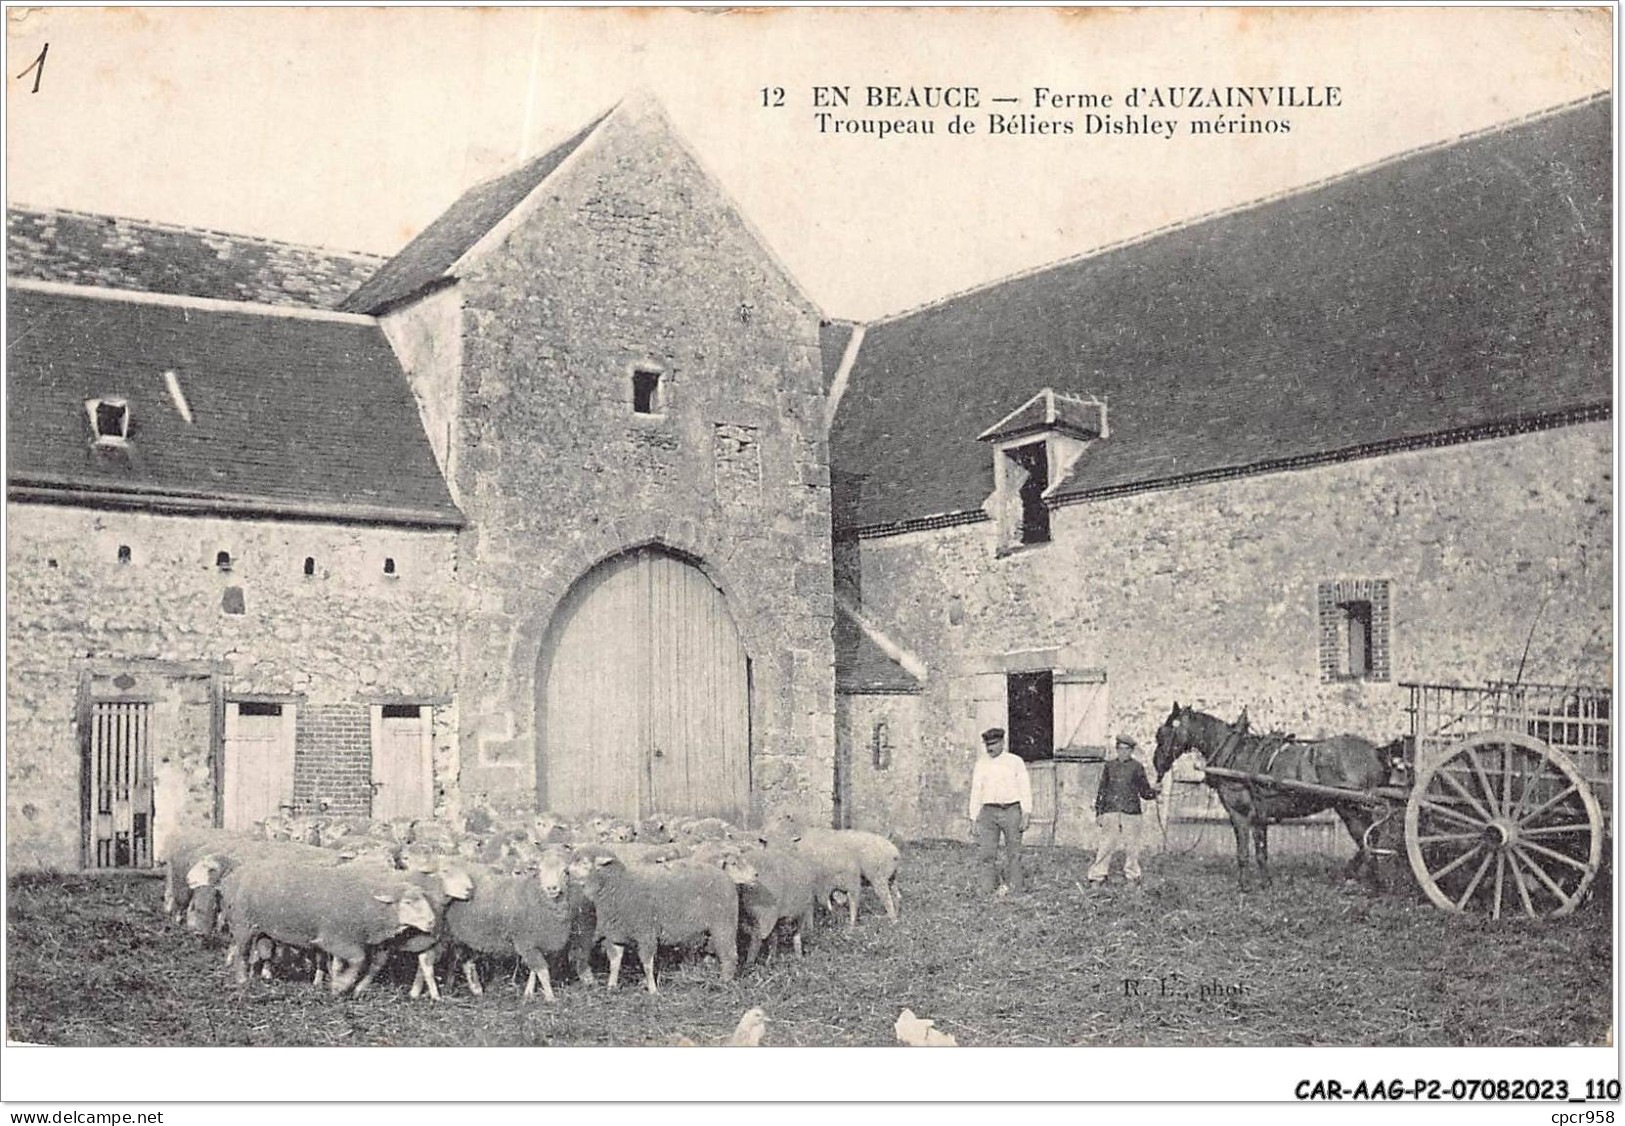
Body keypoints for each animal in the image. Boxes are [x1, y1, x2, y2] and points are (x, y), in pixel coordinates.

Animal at [1157, 698, 1397, 890]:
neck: (1235, 753)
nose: (1156, 764)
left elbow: (1243, 851)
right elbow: (1261, 851)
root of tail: (1377, 751)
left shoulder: (1239, 814)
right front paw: (1266, 882)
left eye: (1163, 732)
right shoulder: (1259, 815)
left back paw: (1362, 879)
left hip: (1351, 807)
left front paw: (1244, 885)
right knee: (1369, 839)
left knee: (1367, 839)